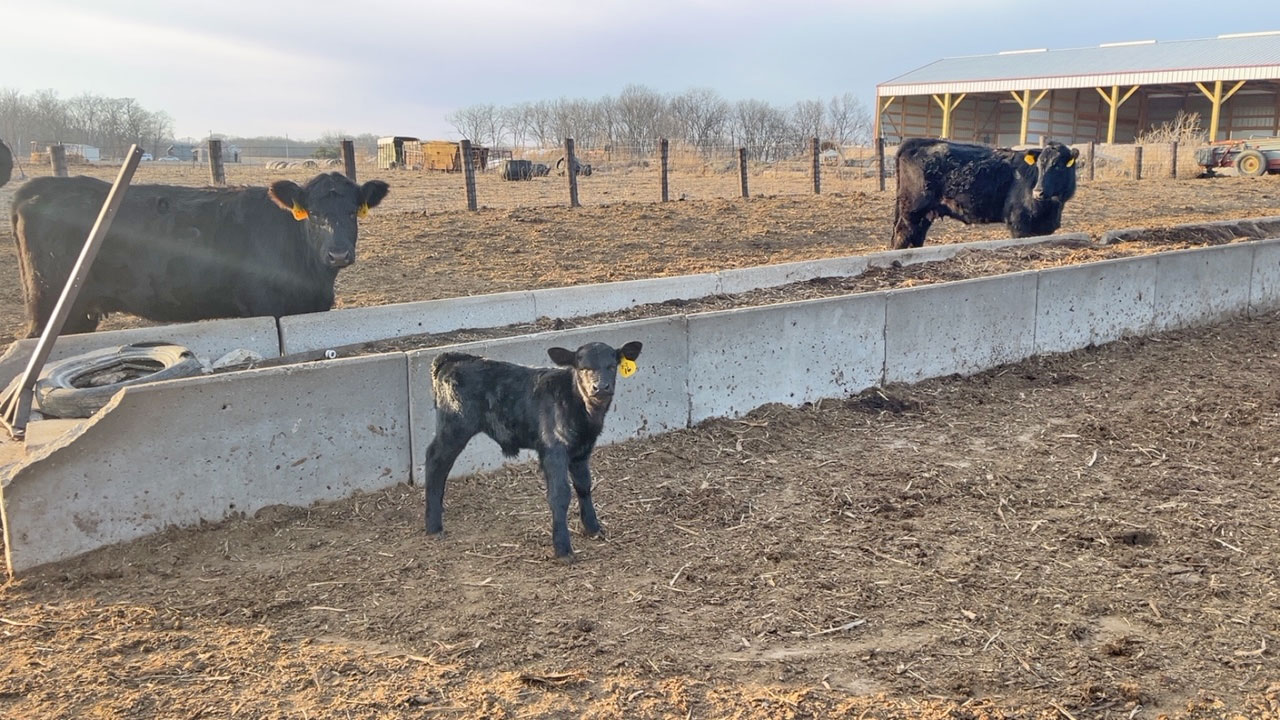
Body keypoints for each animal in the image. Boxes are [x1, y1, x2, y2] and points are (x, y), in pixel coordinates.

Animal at [10, 172, 389, 337]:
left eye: (353, 212)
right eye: (312, 214)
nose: (338, 254)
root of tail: (40, 186)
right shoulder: (269, 307)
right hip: (49, 306)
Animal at [890, 138, 1079, 249]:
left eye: (1058, 166)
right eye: (1039, 165)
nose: (1038, 192)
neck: (1052, 208)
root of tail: (917, 141)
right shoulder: (1019, 223)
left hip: (926, 213)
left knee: (916, 236)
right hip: (912, 209)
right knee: (902, 234)